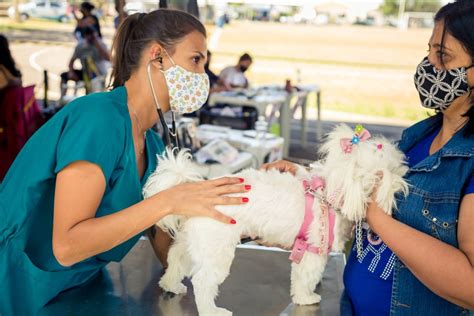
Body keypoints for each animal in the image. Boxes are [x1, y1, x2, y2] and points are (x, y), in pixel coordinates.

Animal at [143, 124, 410, 316]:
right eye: (389, 172)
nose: (406, 177)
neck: (331, 192)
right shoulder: (313, 250)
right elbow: (306, 278)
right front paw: (306, 298)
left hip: (195, 242)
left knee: (176, 259)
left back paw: (170, 285)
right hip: (217, 247)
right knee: (203, 281)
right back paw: (212, 311)